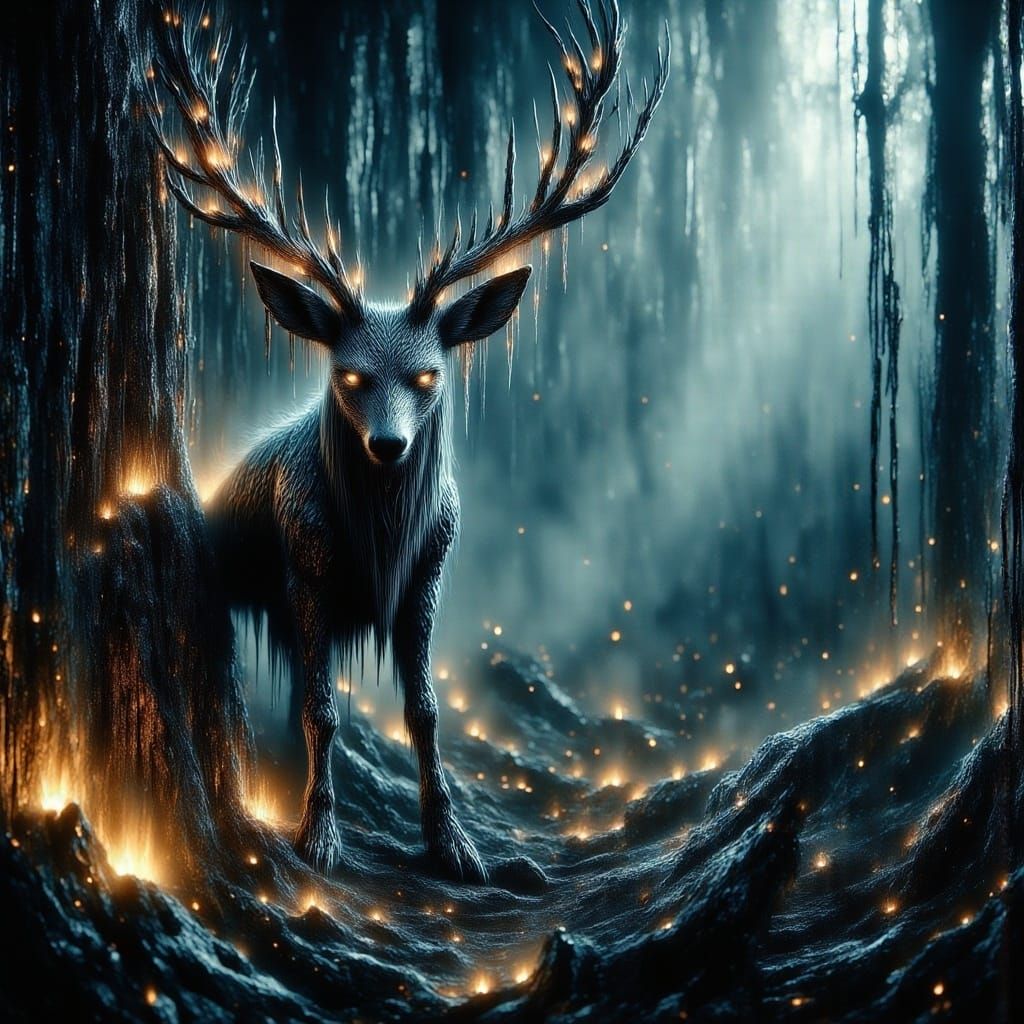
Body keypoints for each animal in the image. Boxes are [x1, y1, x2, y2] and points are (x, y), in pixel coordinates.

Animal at [150, 2, 668, 879]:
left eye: (428, 375)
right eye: (350, 375)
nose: (389, 447)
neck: (379, 543)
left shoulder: (431, 569)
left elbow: (424, 709)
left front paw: (451, 840)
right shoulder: (304, 569)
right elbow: (321, 707)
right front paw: (319, 835)